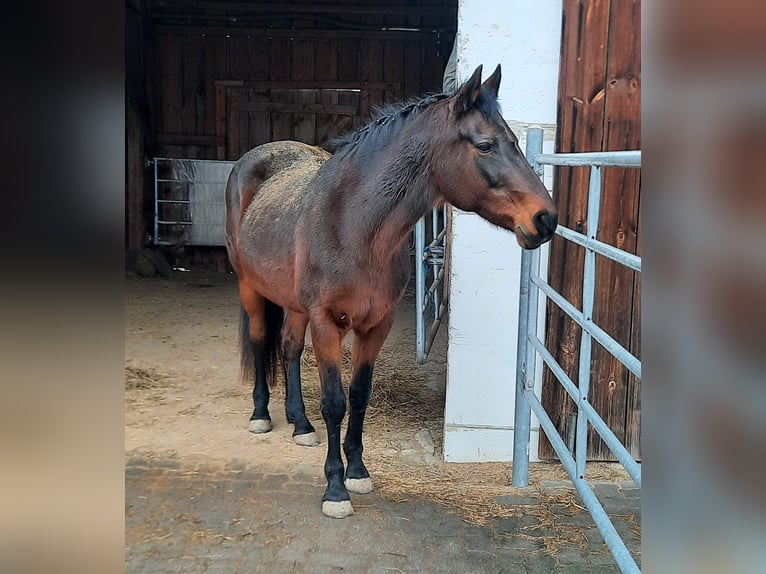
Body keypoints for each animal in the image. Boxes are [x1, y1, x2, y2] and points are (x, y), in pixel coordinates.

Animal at [226, 65, 560, 520]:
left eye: (513, 141)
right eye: (486, 145)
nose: (546, 219)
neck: (352, 227)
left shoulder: (375, 326)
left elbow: (359, 396)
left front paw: (357, 472)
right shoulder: (327, 324)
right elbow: (335, 401)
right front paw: (335, 489)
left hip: (294, 305)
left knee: (290, 347)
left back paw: (300, 424)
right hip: (250, 288)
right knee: (262, 341)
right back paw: (261, 414)